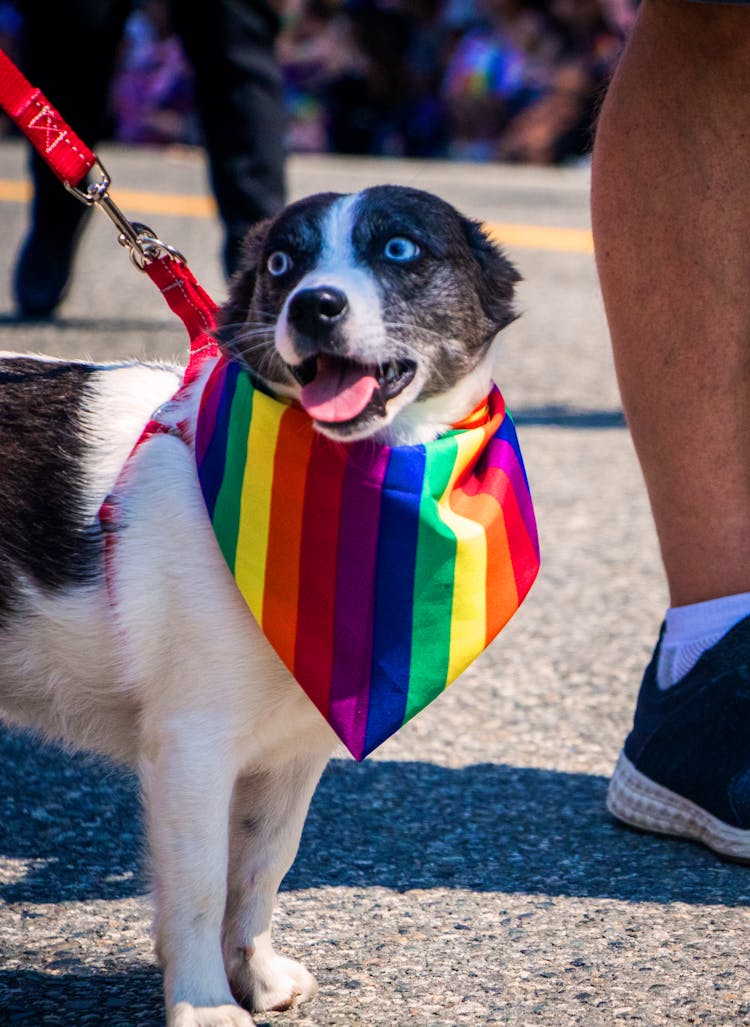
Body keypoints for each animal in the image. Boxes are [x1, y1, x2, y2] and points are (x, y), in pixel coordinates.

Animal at [0, 186, 517, 1027]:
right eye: (280, 263)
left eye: (398, 250)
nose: (315, 305)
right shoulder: (191, 744)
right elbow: (201, 886)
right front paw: (204, 1002)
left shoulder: (295, 747)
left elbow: (262, 867)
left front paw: (255, 971)